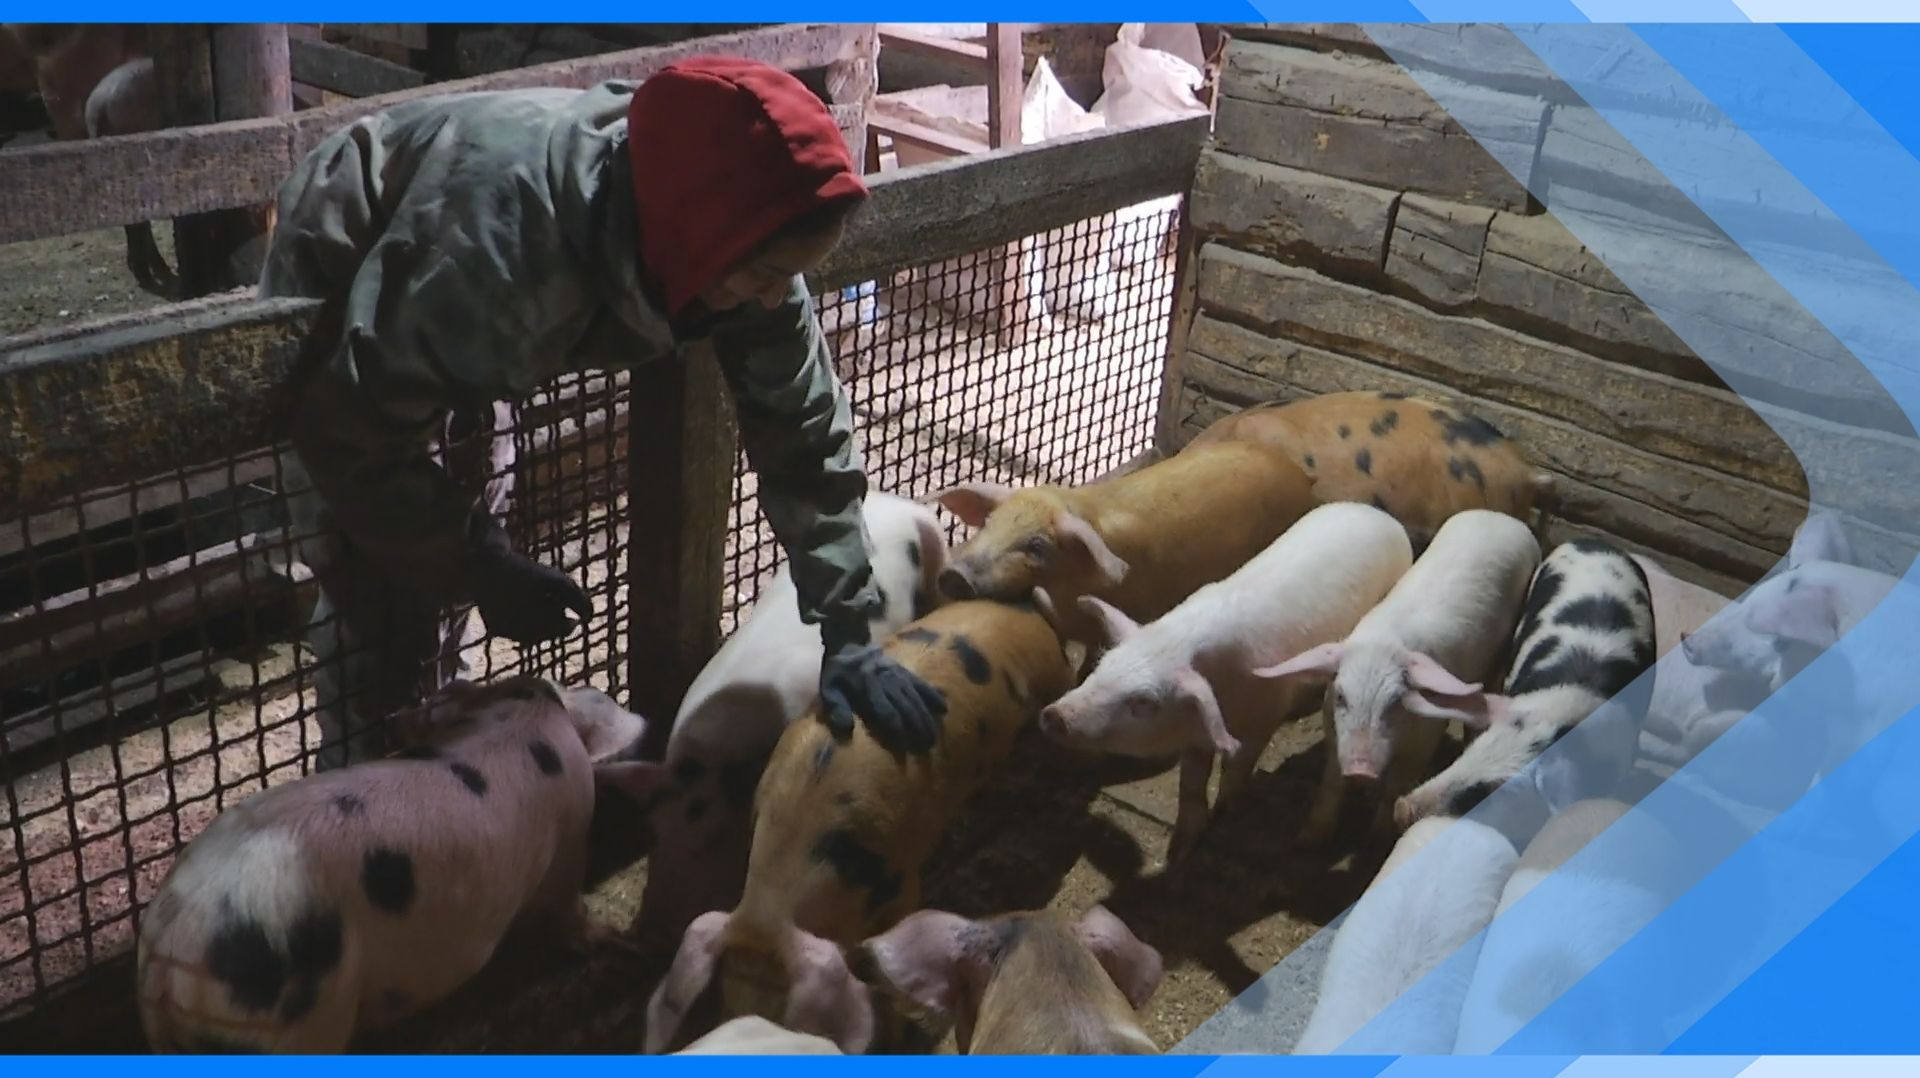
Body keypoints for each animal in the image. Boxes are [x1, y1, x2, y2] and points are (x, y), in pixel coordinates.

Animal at [135, 674, 645, 1053]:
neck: (522, 715)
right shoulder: (569, 841)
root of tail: (170, 949)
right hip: (293, 1020)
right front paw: (611, 938)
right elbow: (568, 905)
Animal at [1040, 501, 1414, 861]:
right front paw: (1179, 851)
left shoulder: (1264, 716)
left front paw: (1224, 812)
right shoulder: (1196, 731)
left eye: (1144, 701)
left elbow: (1236, 767)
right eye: (1103, 664)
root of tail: (1377, 514)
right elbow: (1190, 784)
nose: (1054, 714)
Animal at [1257, 509, 1541, 847]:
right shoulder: (1335, 734)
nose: (1360, 769)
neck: (1382, 643)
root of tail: (1501, 517)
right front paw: (1308, 839)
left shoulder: (1424, 741)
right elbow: (1330, 783)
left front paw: (1378, 839)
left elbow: (1394, 788)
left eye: (1395, 701)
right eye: (1341, 696)